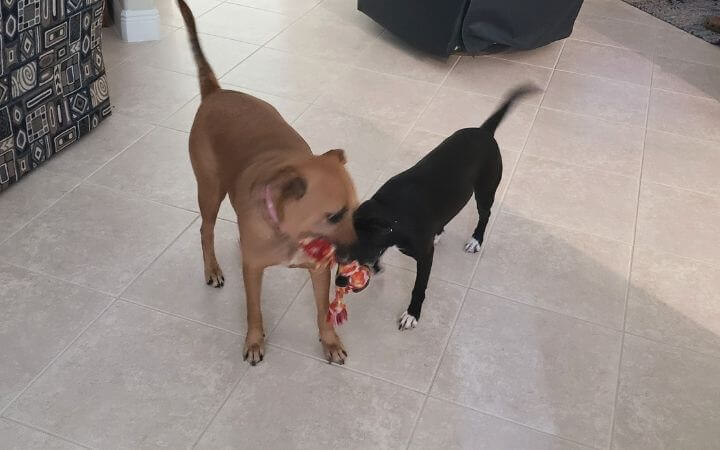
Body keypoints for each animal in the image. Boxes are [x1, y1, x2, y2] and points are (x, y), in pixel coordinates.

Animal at [177, 0, 358, 365]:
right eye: (334, 215)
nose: (360, 255)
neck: (290, 232)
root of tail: (216, 92)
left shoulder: (319, 272)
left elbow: (322, 312)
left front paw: (330, 341)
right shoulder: (253, 271)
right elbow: (254, 310)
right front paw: (254, 340)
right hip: (210, 190)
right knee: (205, 230)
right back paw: (211, 267)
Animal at [346, 86, 538, 330]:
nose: (340, 280)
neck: (392, 212)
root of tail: (484, 131)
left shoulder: (425, 257)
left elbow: (419, 287)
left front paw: (412, 314)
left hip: (485, 191)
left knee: (485, 215)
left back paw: (476, 239)